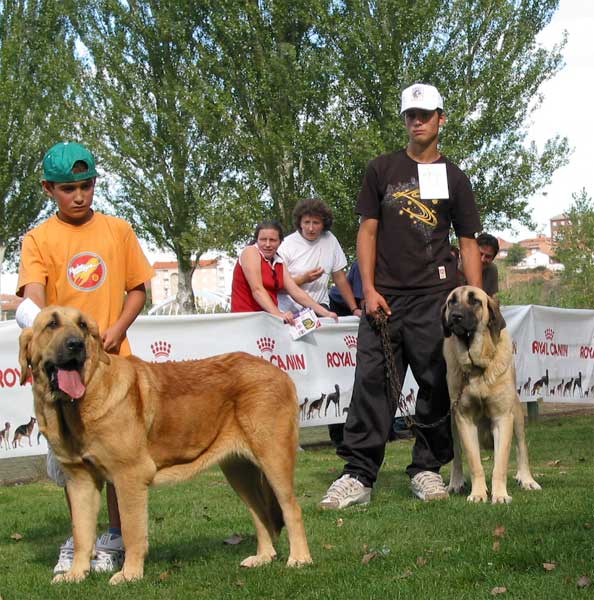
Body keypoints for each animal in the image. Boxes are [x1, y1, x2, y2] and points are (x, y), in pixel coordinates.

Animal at [18, 304, 310, 580]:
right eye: (52, 324)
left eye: (82, 326)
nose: (76, 345)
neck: (75, 406)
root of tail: (279, 372)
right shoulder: (80, 481)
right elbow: (81, 533)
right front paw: (77, 574)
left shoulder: (129, 476)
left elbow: (132, 531)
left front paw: (129, 575)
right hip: (239, 470)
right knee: (259, 513)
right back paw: (263, 557)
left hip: (273, 458)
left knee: (291, 508)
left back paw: (299, 559)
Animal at [440, 288, 540, 504]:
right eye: (452, 302)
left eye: (475, 301)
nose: (456, 316)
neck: (477, 367)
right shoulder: (464, 419)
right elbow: (474, 462)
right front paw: (478, 493)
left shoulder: (503, 418)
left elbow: (500, 464)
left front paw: (500, 495)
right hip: (453, 423)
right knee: (457, 456)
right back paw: (455, 482)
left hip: (516, 417)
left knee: (522, 449)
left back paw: (527, 479)